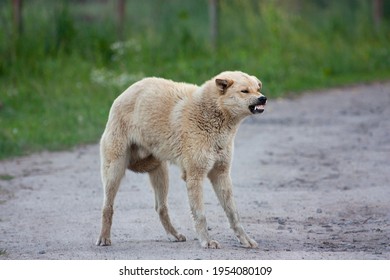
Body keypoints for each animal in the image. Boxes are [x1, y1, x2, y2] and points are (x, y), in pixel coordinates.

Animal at [97, 71, 266, 248]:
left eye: (258, 89)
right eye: (245, 91)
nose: (263, 98)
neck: (210, 114)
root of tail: (123, 94)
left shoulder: (221, 174)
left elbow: (233, 214)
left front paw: (245, 240)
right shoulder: (195, 176)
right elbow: (200, 215)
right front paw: (206, 241)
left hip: (160, 173)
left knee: (161, 208)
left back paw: (174, 234)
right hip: (115, 172)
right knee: (107, 207)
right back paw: (104, 238)